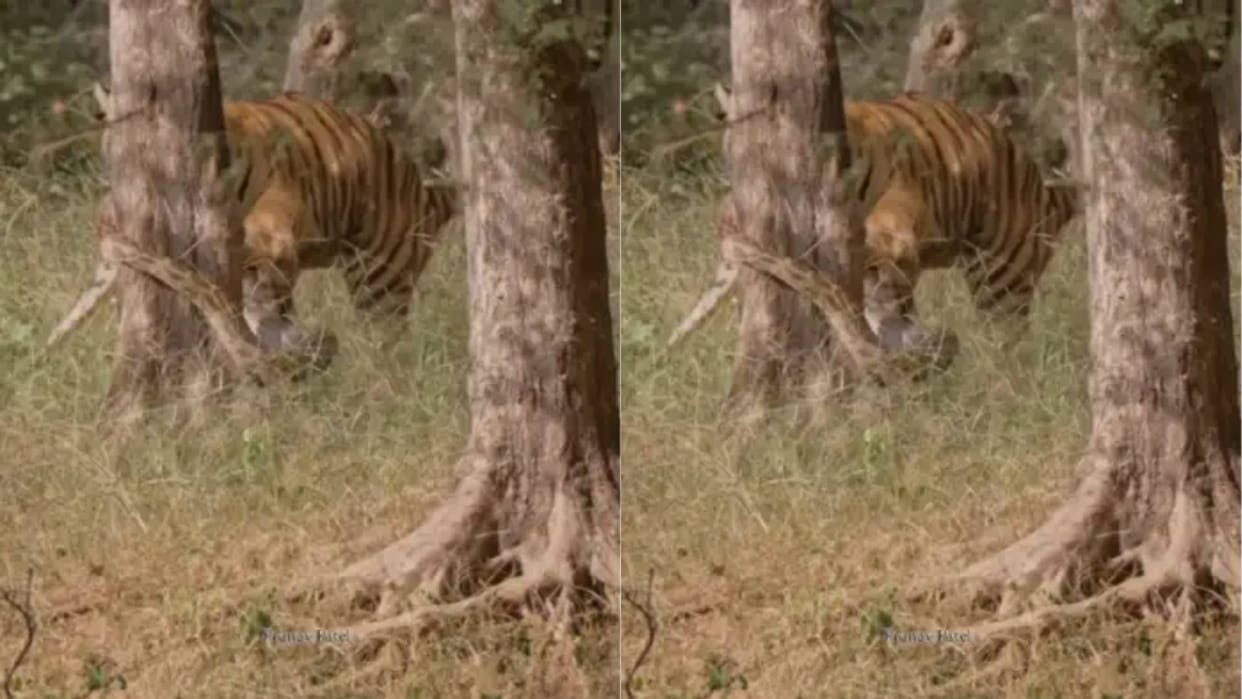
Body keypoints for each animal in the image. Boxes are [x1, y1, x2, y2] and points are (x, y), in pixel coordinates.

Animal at [47, 86, 458, 367]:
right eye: (111, 149)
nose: (110, 197)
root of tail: (427, 194)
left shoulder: (276, 222)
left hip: (380, 281)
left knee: (387, 344)